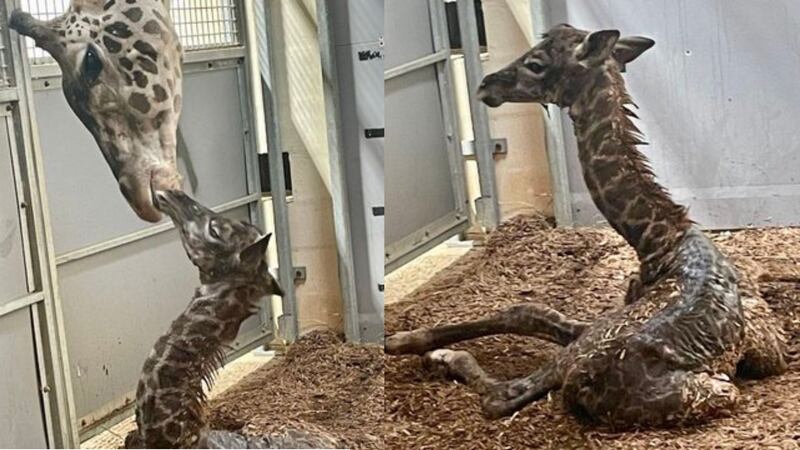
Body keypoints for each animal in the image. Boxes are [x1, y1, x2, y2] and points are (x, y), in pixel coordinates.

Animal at [386, 24, 787, 427]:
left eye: (536, 63)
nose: (486, 85)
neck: (660, 241)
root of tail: (586, 383)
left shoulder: (771, 349)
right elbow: (530, 312)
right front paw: (408, 341)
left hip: (712, 386)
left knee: (504, 393)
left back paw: (433, 354)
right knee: (510, 381)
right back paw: (418, 348)